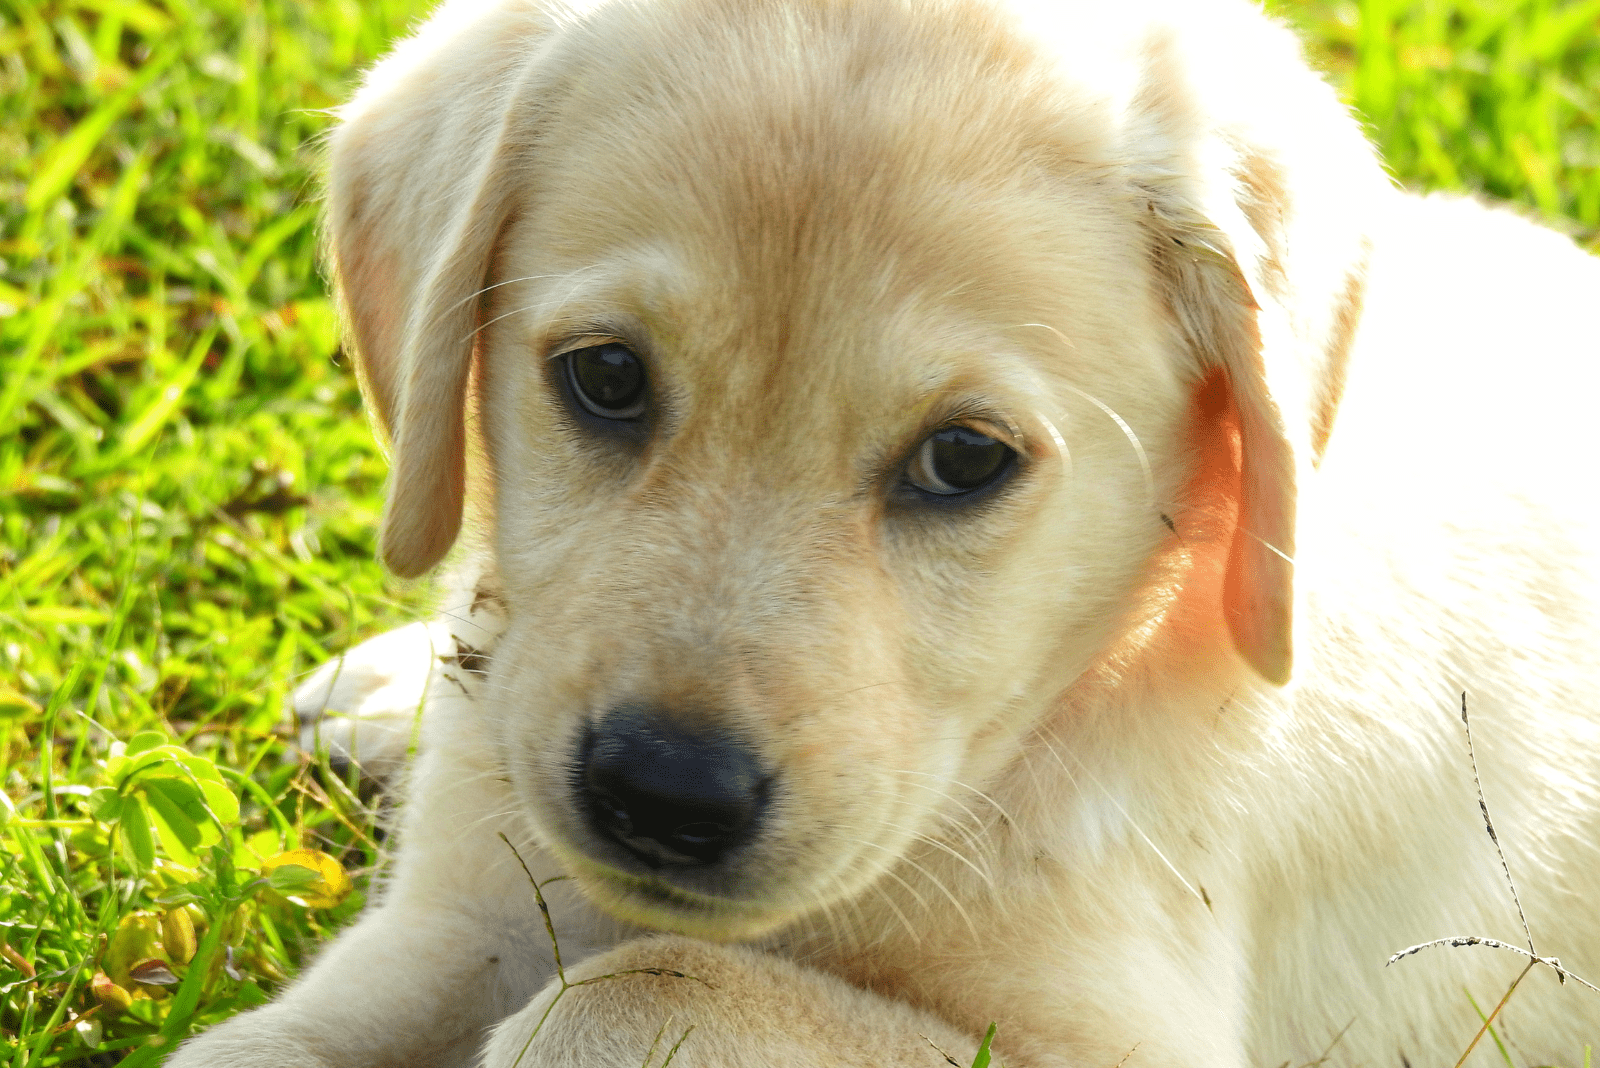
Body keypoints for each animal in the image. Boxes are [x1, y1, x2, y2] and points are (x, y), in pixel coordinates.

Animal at [172, 0, 1600, 1061]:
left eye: (963, 460)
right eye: (606, 378)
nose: (662, 797)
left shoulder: (1113, 1041)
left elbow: (634, 989)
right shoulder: (465, 908)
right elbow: (279, 1043)